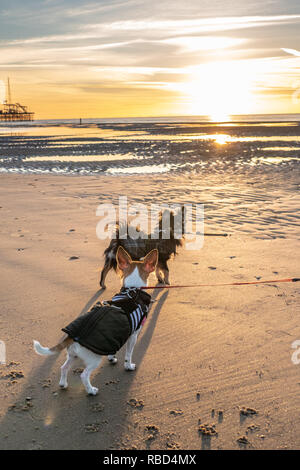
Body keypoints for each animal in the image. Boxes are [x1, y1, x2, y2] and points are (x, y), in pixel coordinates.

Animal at [33, 246, 157, 396]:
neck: (132, 290)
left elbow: (113, 349)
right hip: (94, 359)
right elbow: (128, 354)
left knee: (64, 367)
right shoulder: (133, 335)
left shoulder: (115, 336)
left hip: (73, 355)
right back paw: (91, 390)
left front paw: (111, 357)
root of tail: (73, 336)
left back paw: (63, 384)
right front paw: (128, 366)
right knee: (84, 375)